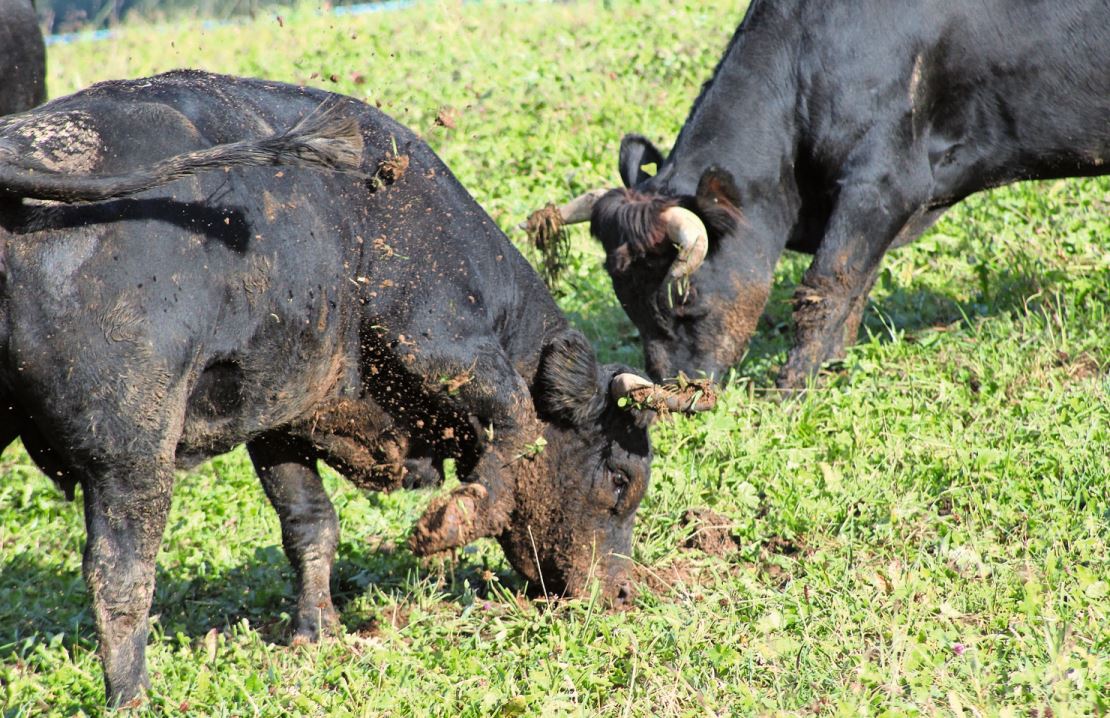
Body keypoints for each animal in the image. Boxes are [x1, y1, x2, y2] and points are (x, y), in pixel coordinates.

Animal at [0, 70, 710, 705]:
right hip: (131, 451)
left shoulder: (279, 418)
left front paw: (316, 632)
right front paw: (452, 521)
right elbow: (513, 423)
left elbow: (310, 525)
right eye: (620, 479)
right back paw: (133, 696)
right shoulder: (441, 345)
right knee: (119, 575)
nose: (621, 595)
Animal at [532, 0, 1105, 390]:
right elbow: (854, 285)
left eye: (682, 299)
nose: (678, 385)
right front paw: (830, 368)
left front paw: (790, 388)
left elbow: (827, 285)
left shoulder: (885, 181)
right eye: (626, 302)